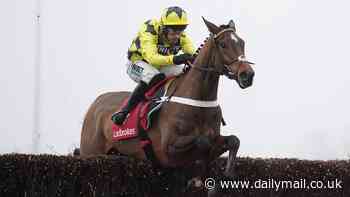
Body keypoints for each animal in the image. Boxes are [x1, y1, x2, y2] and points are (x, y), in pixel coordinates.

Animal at [79, 18, 254, 195]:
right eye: (223, 45)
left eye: (242, 42)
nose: (248, 75)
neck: (198, 100)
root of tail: (95, 104)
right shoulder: (168, 150)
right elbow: (202, 142)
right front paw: (198, 178)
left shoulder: (215, 138)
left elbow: (233, 141)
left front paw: (223, 177)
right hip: (91, 152)